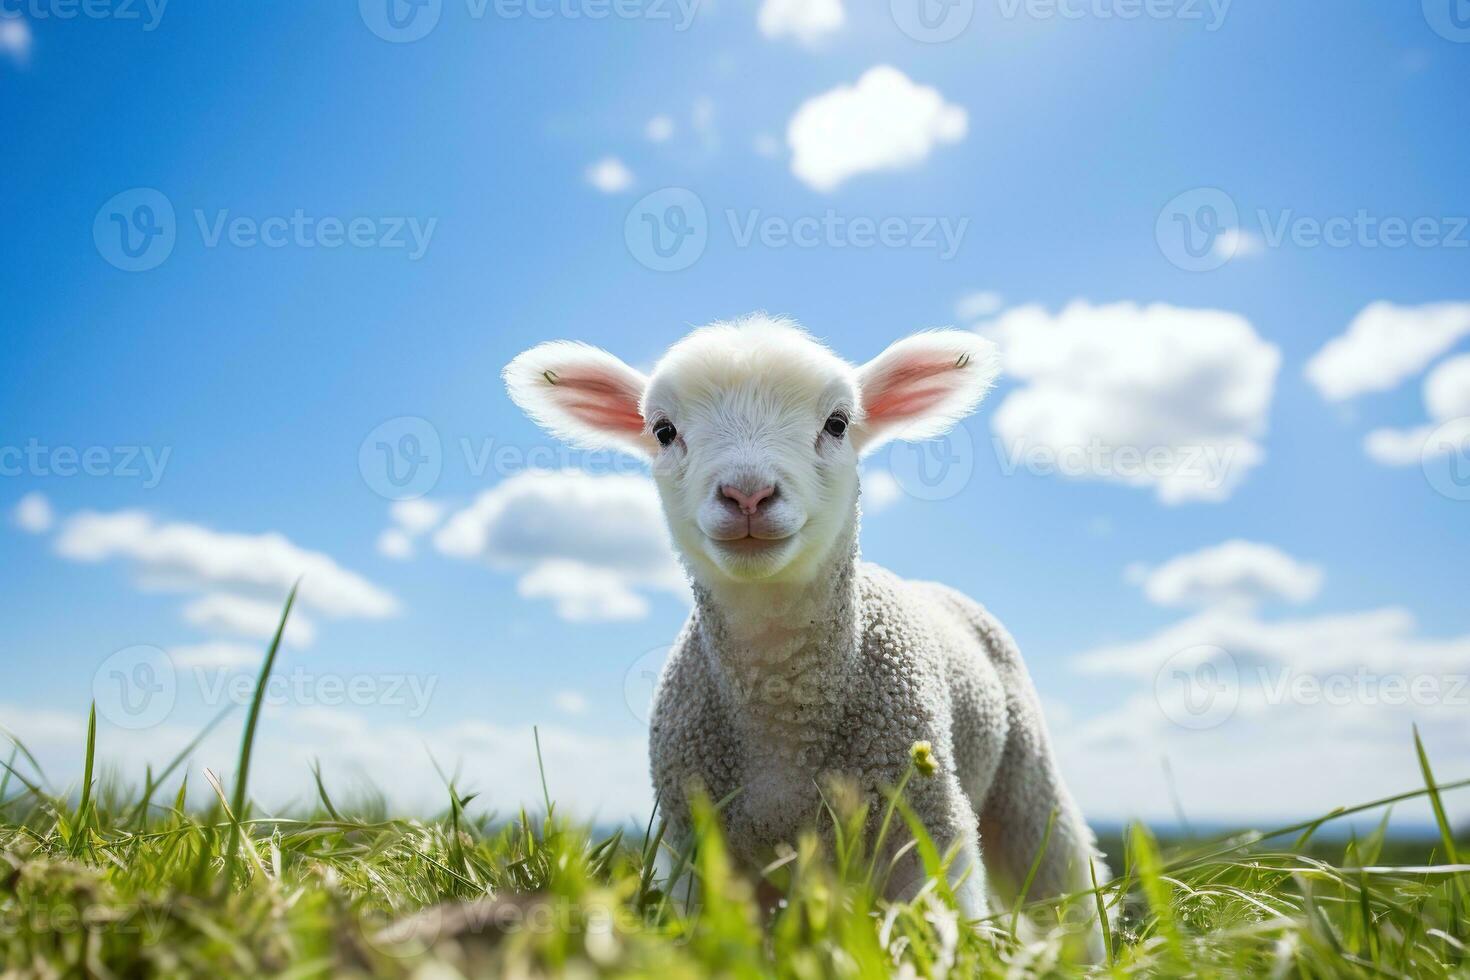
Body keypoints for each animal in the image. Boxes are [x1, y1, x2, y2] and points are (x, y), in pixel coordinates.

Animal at [505, 315, 1105, 957]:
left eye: (837, 423)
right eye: (663, 431)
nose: (747, 494)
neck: (782, 722)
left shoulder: (927, 825)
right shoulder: (694, 843)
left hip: (1024, 776)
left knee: (1063, 871)